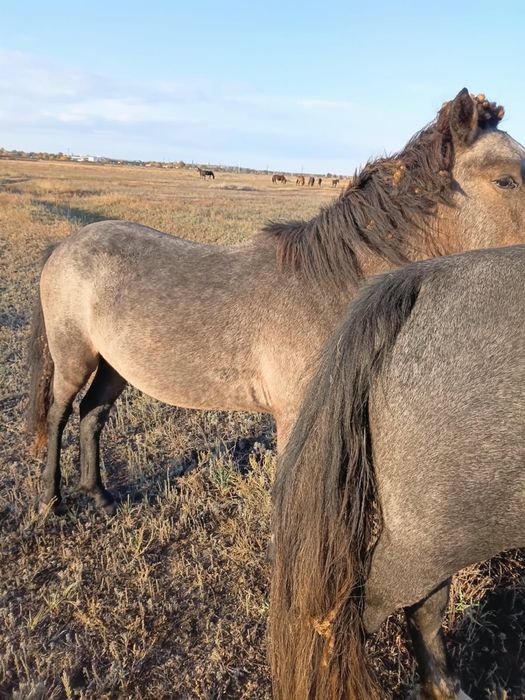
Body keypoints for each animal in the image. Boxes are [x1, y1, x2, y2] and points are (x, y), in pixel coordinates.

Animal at [26, 89, 525, 516]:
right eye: (506, 180)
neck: (330, 287)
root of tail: (63, 246)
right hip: (74, 358)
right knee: (59, 416)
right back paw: (51, 501)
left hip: (115, 366)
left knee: (92, 416)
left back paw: (100, 496)